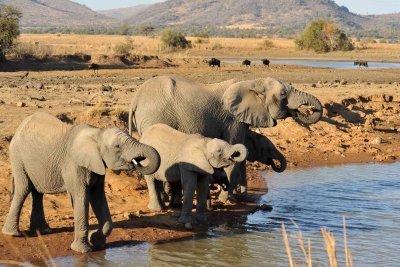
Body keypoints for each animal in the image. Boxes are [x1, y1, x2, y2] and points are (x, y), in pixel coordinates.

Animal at [1, 112, 161, 254]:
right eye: (117, 147)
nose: (136, 163)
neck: (97, 133)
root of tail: (20, 126)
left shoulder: (97, 164)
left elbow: (98, 197)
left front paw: (96, 241)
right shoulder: (73, 164)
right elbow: (81, 197)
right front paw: (83, 250)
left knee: (37, 193)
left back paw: (43, 230)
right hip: (17, 157)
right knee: (23, 189)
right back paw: (12, 233)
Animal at [130, 75, 324, 203]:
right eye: (284, 94)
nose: (307, 109)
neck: (251, 82)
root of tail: (135, 99)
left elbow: (241, 155)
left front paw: (239, 196)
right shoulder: (232, 120)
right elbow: (235, 156)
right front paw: (226, 199)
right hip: (154, 117)